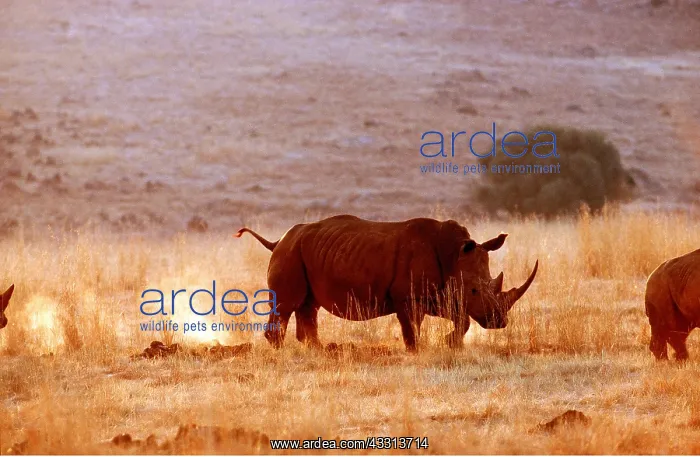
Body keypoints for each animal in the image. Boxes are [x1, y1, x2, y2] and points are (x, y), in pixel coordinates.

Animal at [235, 215, 538, 351]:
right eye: (474, 290)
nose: (499, 322)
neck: (454, 254)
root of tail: (278, 240)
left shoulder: (437, 294)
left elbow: (460, 319)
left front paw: (450, 343)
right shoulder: (407, 296)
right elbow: (411, 326)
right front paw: (416, 350)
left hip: (302, 252)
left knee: (308, 305)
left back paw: (318, 350)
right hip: (290, 253)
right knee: (287, 304)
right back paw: (283, 351)